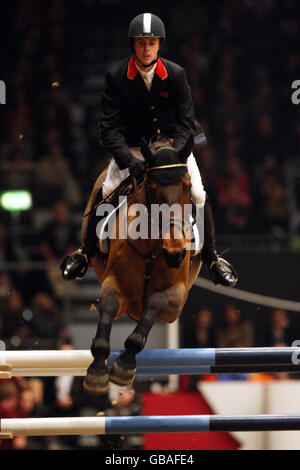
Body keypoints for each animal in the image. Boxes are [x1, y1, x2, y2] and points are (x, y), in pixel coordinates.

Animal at [83, 134, 203, 394]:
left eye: (187, 187)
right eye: (151, 188)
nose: (175, 253)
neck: (152, 250)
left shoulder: (176, 299)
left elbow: (155, 303)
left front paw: (124, 365)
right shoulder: (114, 285)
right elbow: (108, 305)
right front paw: (97, 371)